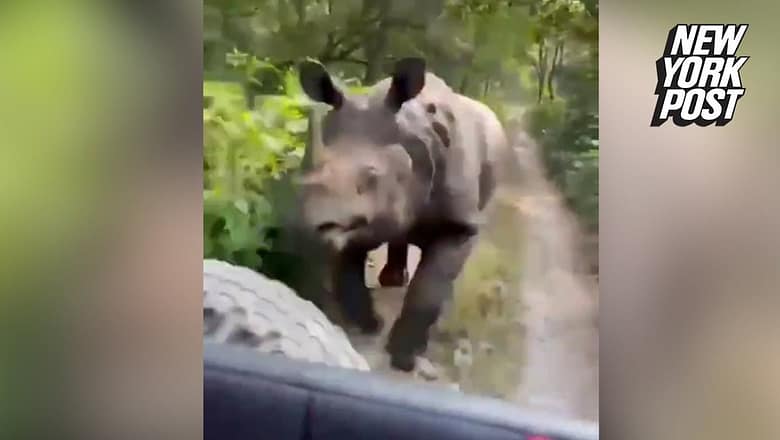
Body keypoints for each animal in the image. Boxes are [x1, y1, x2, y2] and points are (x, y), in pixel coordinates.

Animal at [296, 58, 512, 371]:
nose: (317, 224)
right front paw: (368, 326)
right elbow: (347, 270)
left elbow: (429, 288)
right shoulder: (358, 222)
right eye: (309, 171)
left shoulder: (459, 226)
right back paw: (392, 280)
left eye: (371, 178)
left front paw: (404, 358)